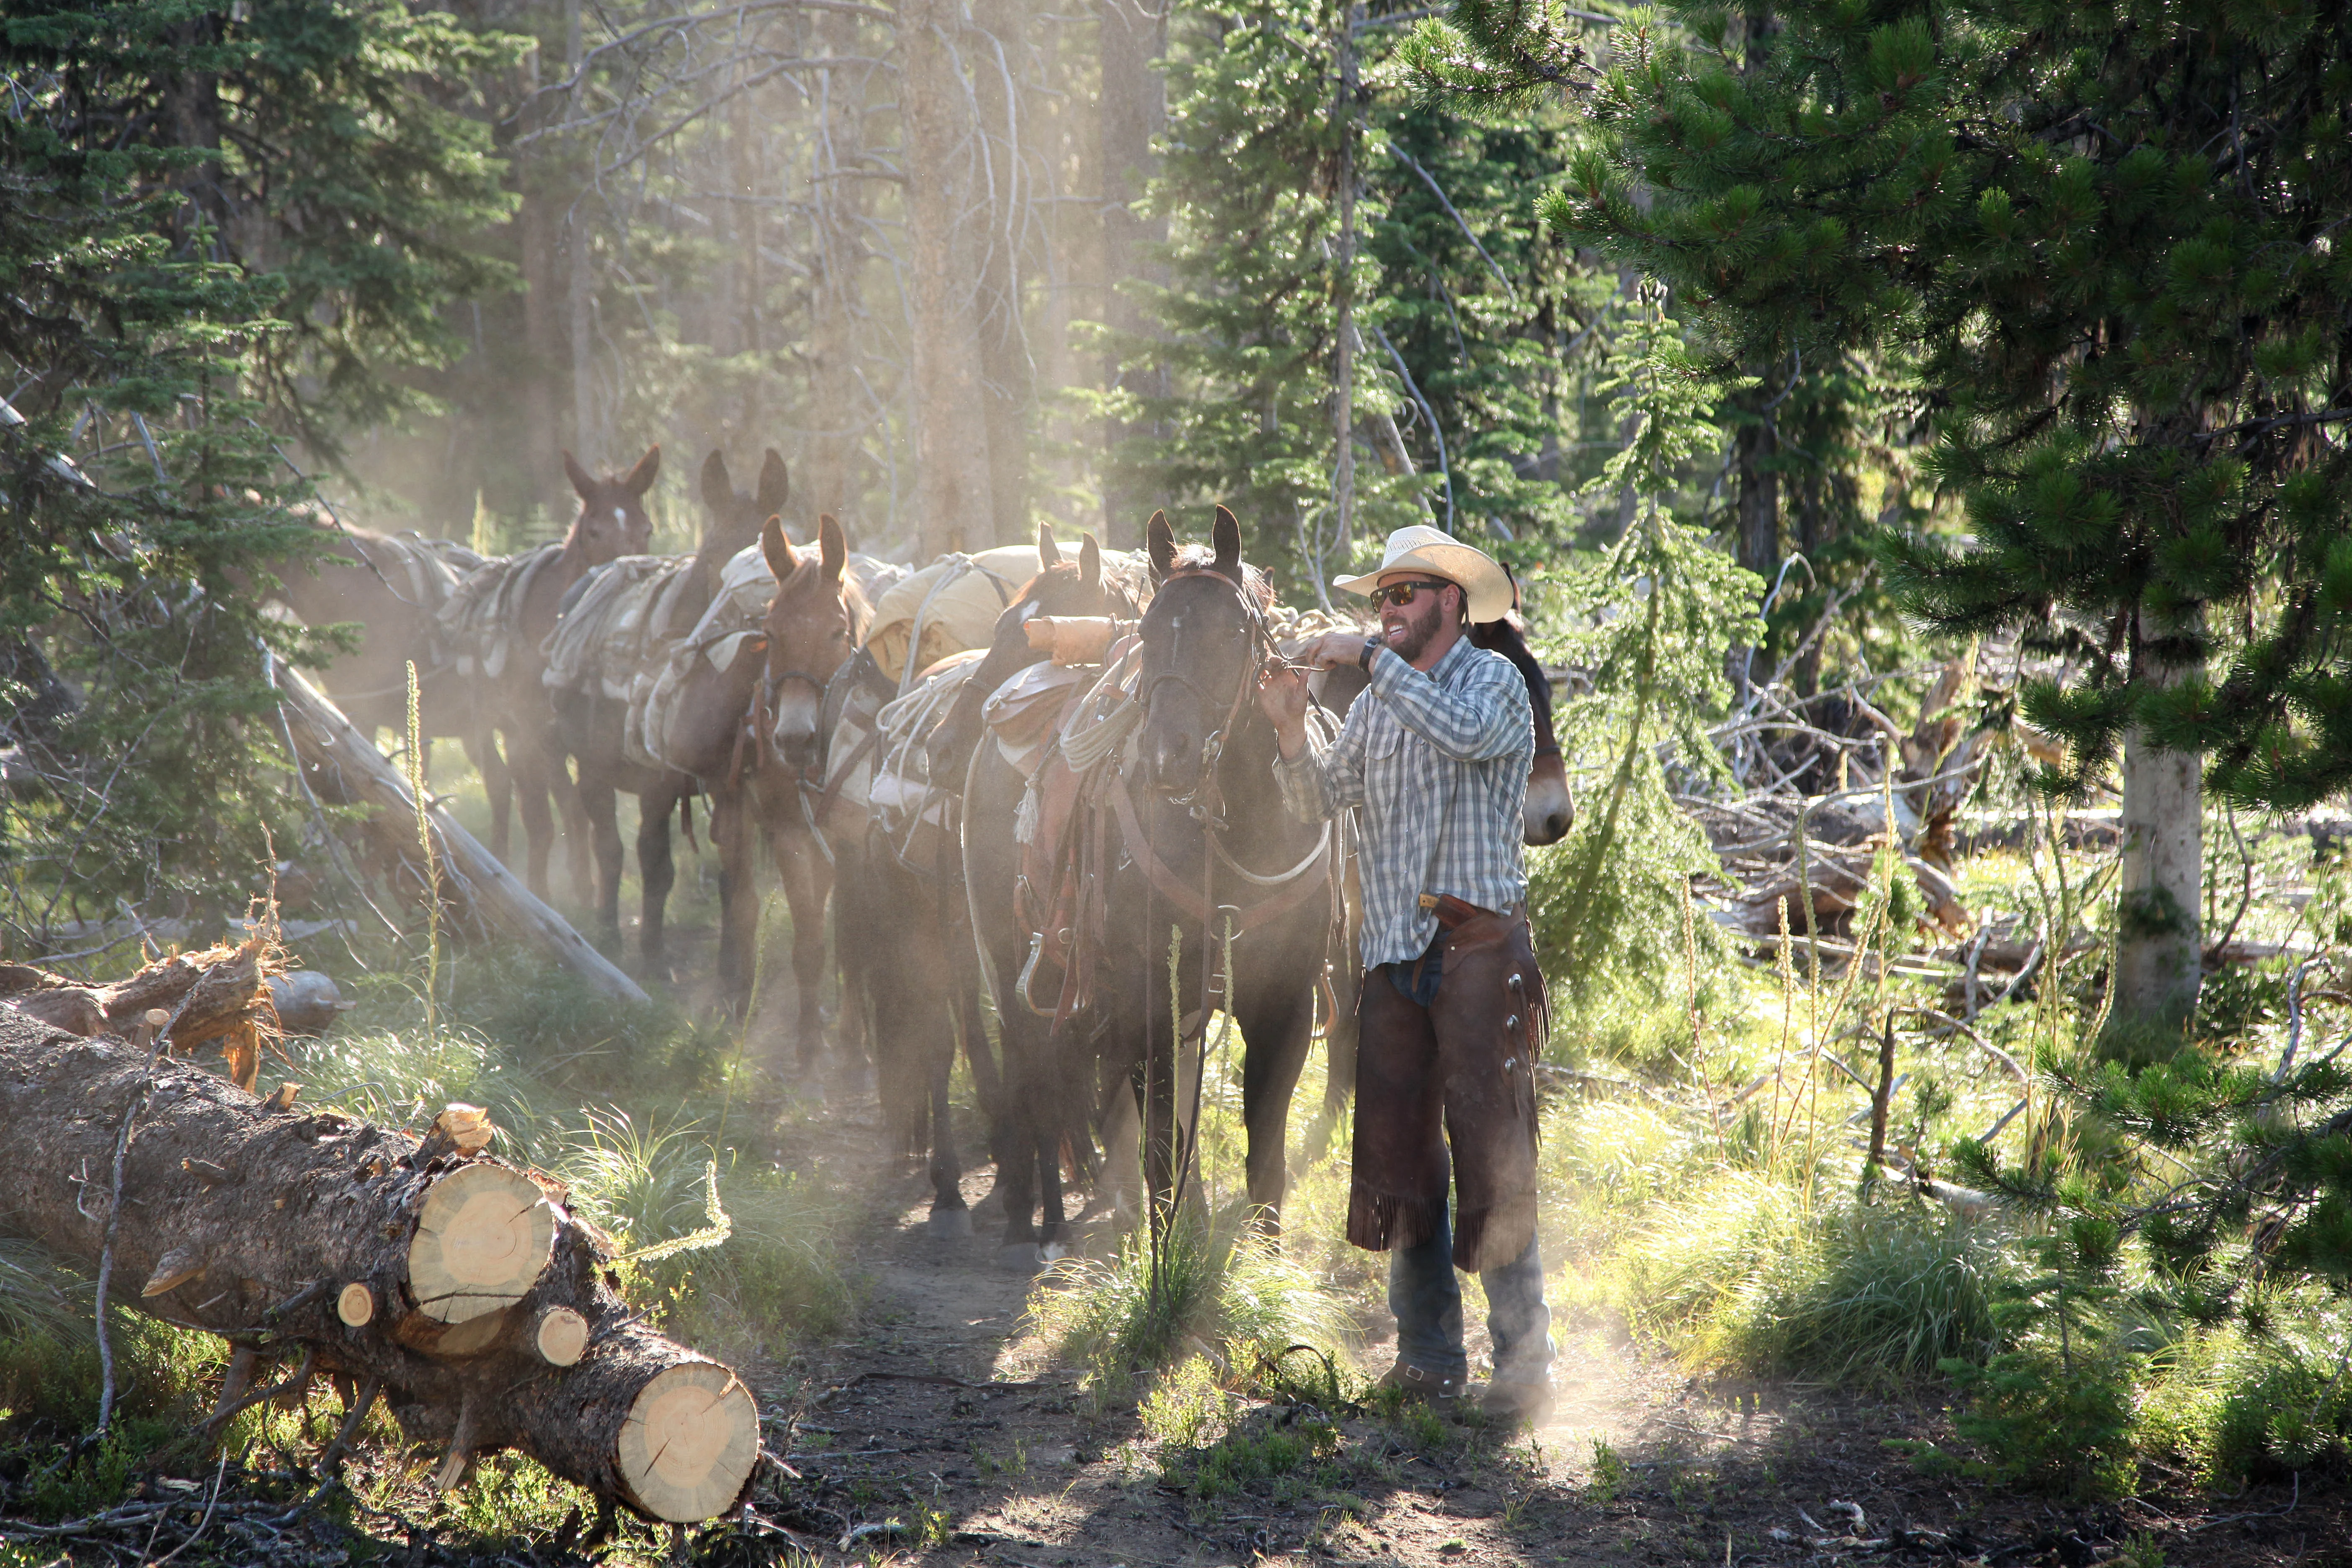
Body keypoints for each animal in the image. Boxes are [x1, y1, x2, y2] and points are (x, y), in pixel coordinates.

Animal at [440, 446, 663, 903]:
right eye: (593, 530)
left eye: (646, 528)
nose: (622, 586)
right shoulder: (529, 732)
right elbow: (540, 818)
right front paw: (540, 894)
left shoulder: (574, 739)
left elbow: (575, 809)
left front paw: (585, 888)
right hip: (489, 727)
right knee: (503, 789)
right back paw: (500, 860)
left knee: (561, 800)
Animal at [545, 446, 785, 973]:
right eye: (714, 556)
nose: (757, 640)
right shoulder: (655, 785)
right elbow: (655, 864)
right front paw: (655, 960)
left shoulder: (731, 785)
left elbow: (733, 881)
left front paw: (732, 968)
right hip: (594, 767)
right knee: (609, 846)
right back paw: (610, 932)